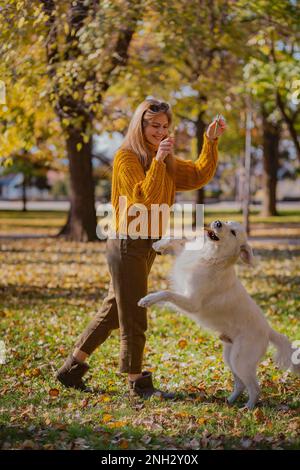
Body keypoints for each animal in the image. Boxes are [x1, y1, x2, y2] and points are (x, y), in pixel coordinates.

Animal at [139, 220, 300, 408]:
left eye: (233, 232)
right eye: (228, 222)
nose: (217, 222)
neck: (210, 256)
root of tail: (268, 330)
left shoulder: (192, 302)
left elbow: (166, 293)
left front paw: (148, 299)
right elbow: (177, 239)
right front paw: (160, 244)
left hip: (240, 360)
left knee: (255, 388)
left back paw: (248, 408)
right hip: (230, 357)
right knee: (240, 384)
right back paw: (229, 401)